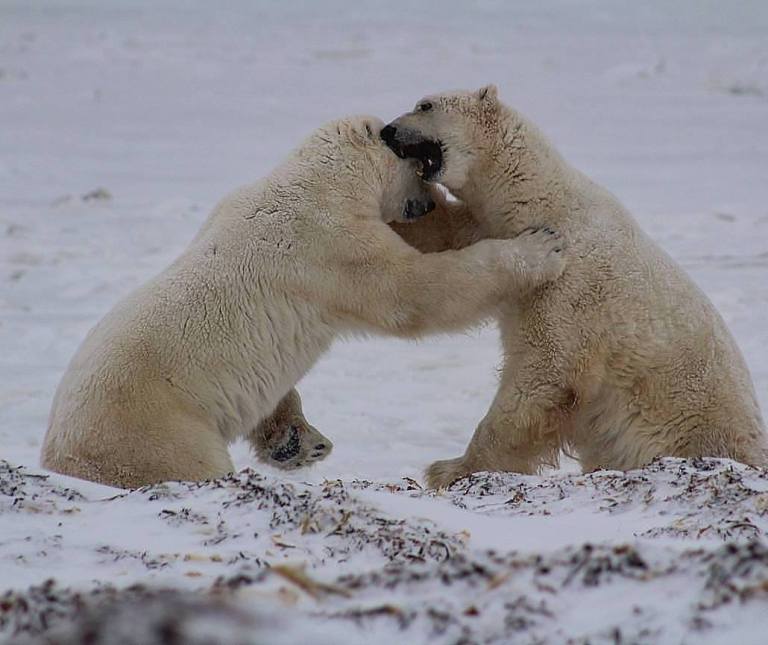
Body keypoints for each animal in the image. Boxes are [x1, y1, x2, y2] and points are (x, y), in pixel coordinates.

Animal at [42, 117, 568, 488]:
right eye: (418, 169)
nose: (430, 202)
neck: (315, 180)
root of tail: (56, 456)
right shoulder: (330, 243)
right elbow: (413, 291)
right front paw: (542, 247)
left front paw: (297, 439)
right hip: (154, 429)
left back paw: (300, 442)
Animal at [380, 87, 768, 488]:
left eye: (425, 106)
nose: (387, 130)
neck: (541, 200)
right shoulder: (490, 228)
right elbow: (451, 237)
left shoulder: (574, 290)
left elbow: (545, 371)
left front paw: (450, 467)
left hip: (689, 427)